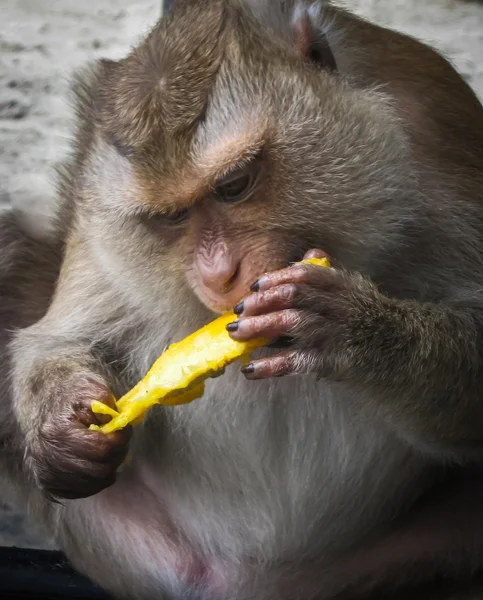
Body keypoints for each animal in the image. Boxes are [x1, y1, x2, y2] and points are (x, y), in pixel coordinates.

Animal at [0, 0, 483, 596]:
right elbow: (61, 337)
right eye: (173, 217)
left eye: (234, 185)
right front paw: (62, 433)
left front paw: (355, 332)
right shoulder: (96, 206)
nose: (218, 272)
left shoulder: (435, 136)